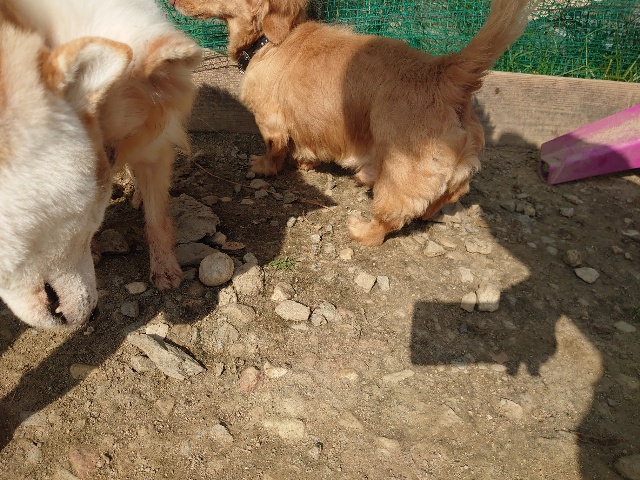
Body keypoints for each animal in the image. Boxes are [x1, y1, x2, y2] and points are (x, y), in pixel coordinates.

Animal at [171, 0, 534, 246]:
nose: (172, 1)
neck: (271, 40)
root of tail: (444, 74)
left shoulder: (271, 121)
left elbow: (275, 150)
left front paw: (264, 167)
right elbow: (307, 146)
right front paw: (306, 163)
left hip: (401, 172)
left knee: (392, 216)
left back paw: (364, 230)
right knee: (453, 192)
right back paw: (428, 211)